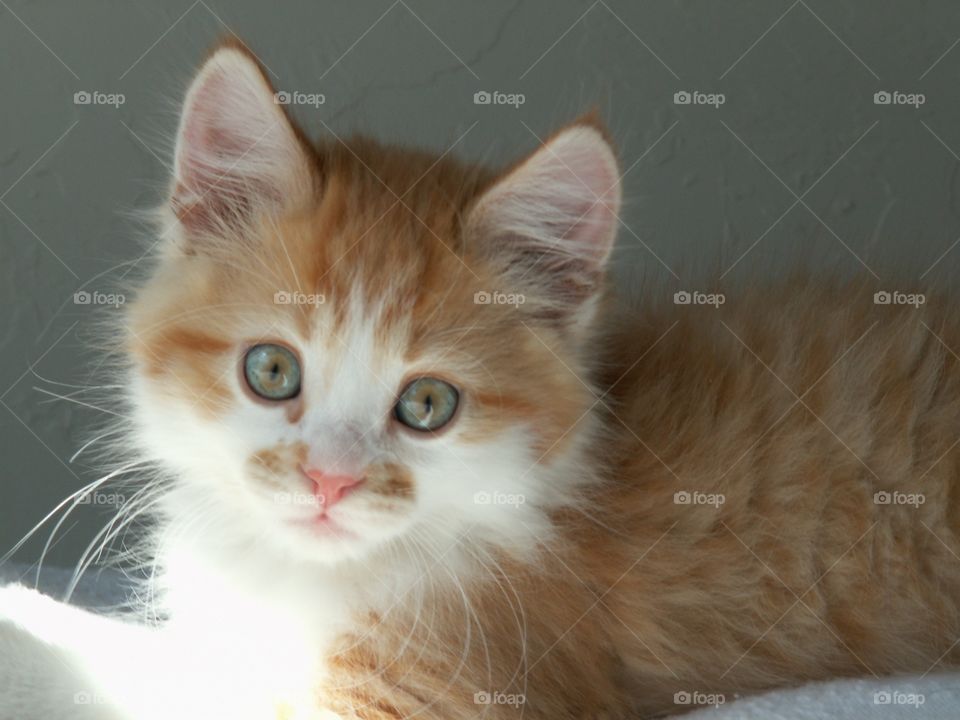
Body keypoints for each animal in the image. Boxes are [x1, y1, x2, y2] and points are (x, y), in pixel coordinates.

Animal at [1, 38, 960, 720]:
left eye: (428, 405)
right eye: (271, 370)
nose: (330, 481)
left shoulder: (446, 687)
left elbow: (154, 688)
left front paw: (28, 638)